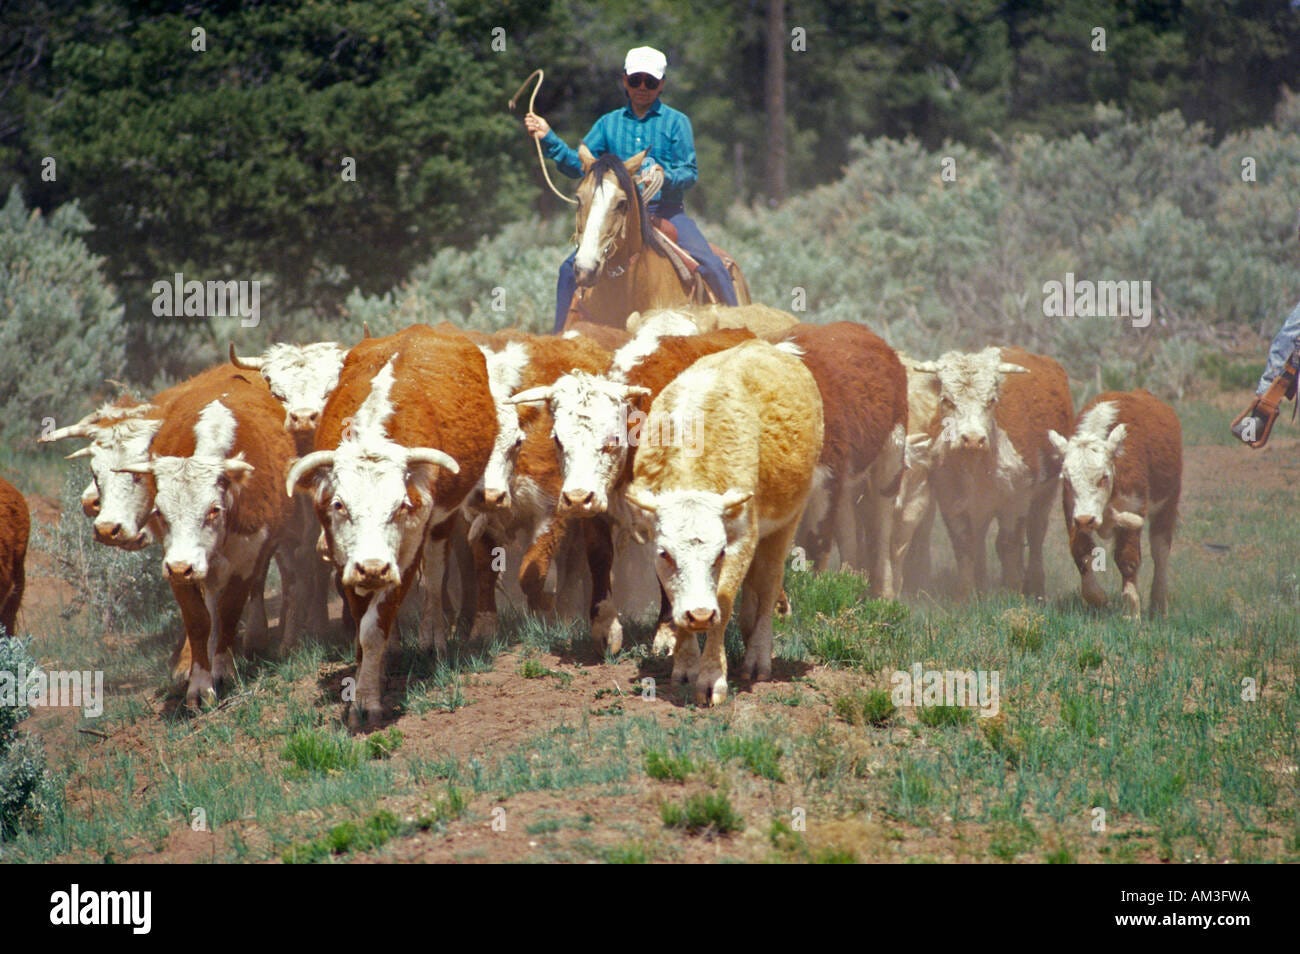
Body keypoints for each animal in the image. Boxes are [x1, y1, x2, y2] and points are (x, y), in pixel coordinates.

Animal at [287, 323, 493, 722]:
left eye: (402, 506)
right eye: (339, 504)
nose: (373, 567)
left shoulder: (407, 554)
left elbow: (375, 625)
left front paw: (367, 701)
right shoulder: (344, 558)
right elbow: (363, 623)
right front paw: (367, 676)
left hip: (440, 525)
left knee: (435, 576)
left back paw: (433, 637)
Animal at [621, 340, 821, 707]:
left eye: (720, 554)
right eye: (665, 554)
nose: (700, 614)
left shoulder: (742, 539)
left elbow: (725, 602)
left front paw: (712, 678)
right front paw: (686, 667)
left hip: (786, 524)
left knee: (768, 585)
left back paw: (757, 658)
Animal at [909, 343, 1071, 597]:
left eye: (991, 400)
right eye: (947, 400)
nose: (973, 439)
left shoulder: (1016, 501)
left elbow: (1008, 543)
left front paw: (1012, 591)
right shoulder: (951, 500)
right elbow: (964, 544)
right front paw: (967, 593)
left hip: (1046, 491)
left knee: (1035, 534)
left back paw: (1034, 586)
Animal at [1050, 389, 1185, 621]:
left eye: (1104, 477)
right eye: (1066, 479)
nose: (1086, 520)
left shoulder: (1133, 507)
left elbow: (1127, 560)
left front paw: (1131, 611)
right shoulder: (1072, 512)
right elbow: (1081, 552)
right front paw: (1099, 599)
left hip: (1168, 503)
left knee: (1160, 552)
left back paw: (1159, 605)